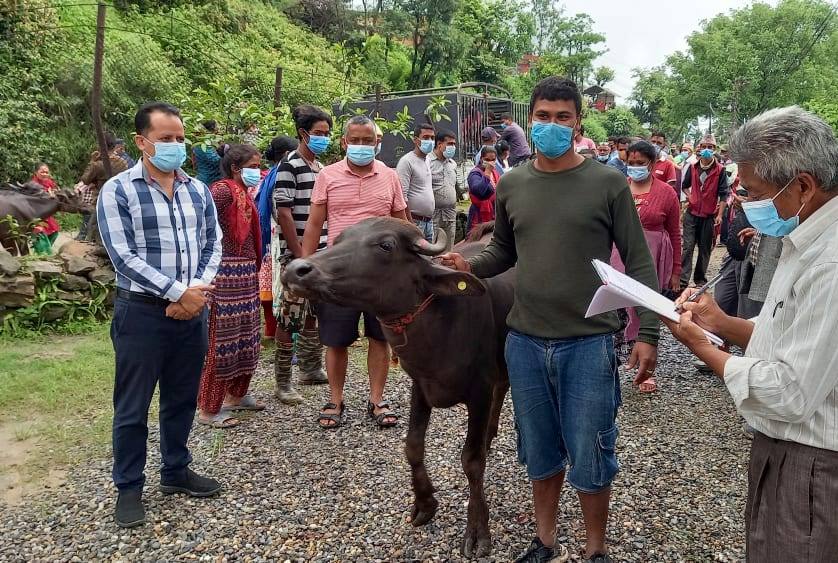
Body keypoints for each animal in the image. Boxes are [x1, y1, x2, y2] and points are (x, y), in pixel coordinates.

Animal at [286, 218, 516, 556]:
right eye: (340, 239)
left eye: (386, 245)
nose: (296, 269)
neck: (443, 322)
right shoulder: (420, 387)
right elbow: (413, 445)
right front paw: (425, 503)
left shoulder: (480, 391)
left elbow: (472, 461)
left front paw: (477, 529)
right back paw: (489, 434)